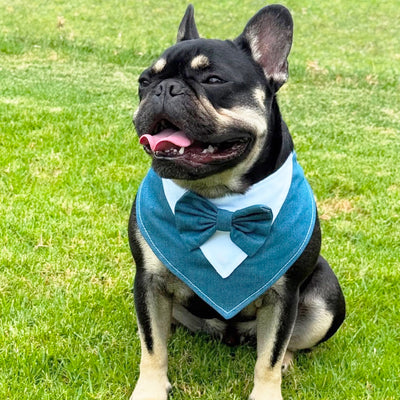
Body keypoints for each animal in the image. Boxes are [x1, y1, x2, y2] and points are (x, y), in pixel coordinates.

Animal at [128, 3, 344, 400]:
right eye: (144, 81)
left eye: (214, 80)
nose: (165, 88)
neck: (218, 202)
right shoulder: (148, 282)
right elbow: (152, 346)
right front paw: (150, 389)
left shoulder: (284, 296)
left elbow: (269, 357)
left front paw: (267, 391)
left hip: (325, 300)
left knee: (287, 342)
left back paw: (288, 359)